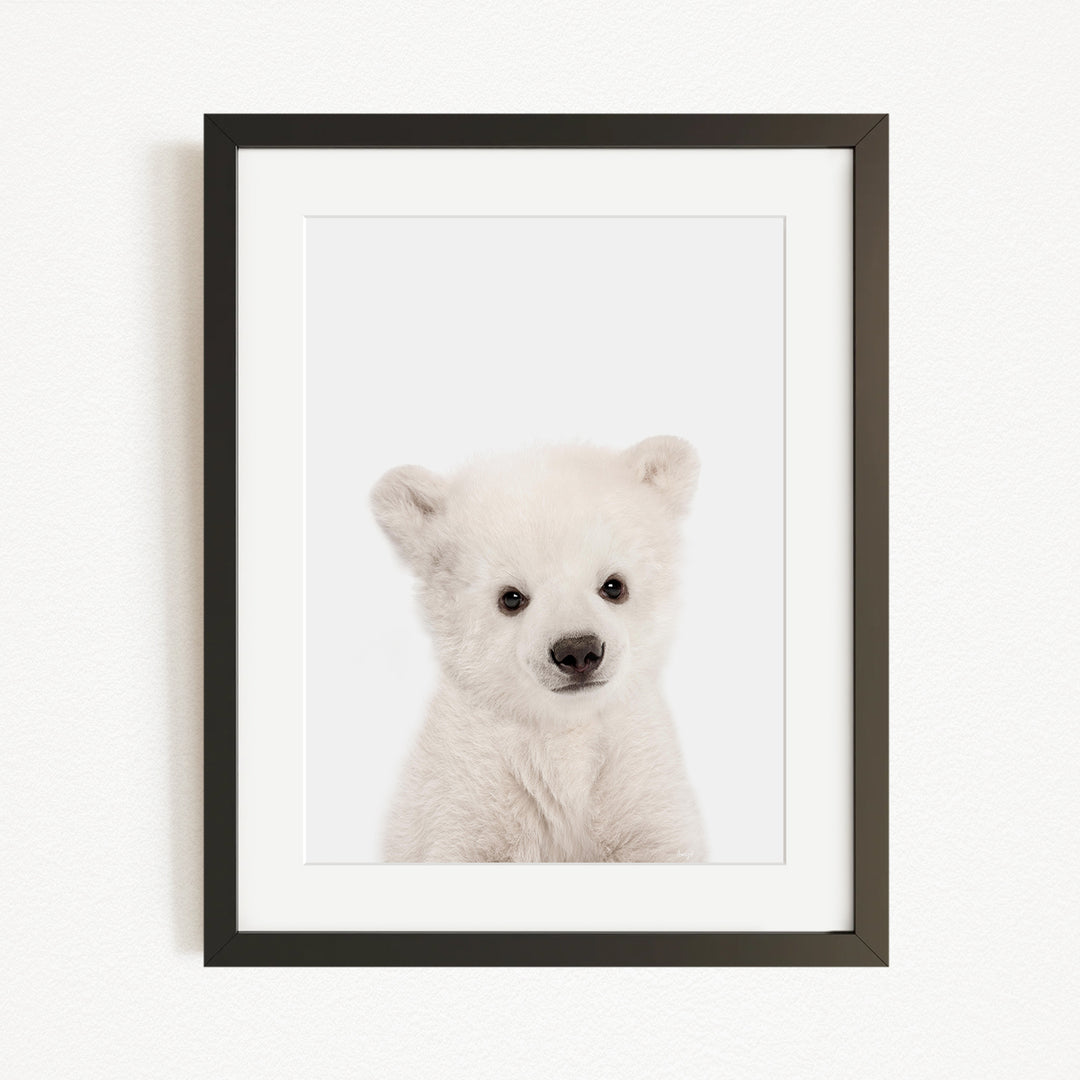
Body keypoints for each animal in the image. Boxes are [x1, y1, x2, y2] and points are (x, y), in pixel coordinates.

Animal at [370, 435, 706, 863]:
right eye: (511, 597)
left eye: (614, 585)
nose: (578, 651)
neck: (562, 728)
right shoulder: (466, 782)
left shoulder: (638, 772)